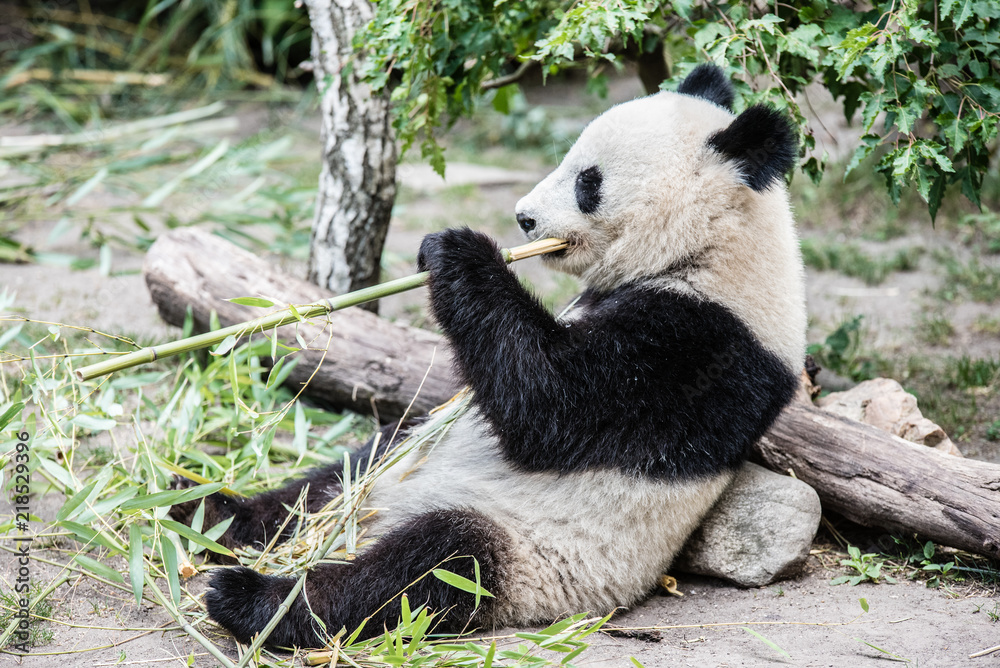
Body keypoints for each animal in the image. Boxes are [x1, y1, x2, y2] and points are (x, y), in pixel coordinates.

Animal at [182, 63, 806, 648]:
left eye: (589, 181)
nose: (524, 218)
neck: (714, 246)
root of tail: (372, 519)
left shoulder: (700, 345)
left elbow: (552, 406)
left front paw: (457, 250)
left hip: (530, 554)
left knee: (427, 565)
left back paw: (254, 599)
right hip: (393, 463)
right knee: (332, 480)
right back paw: (210, 514)